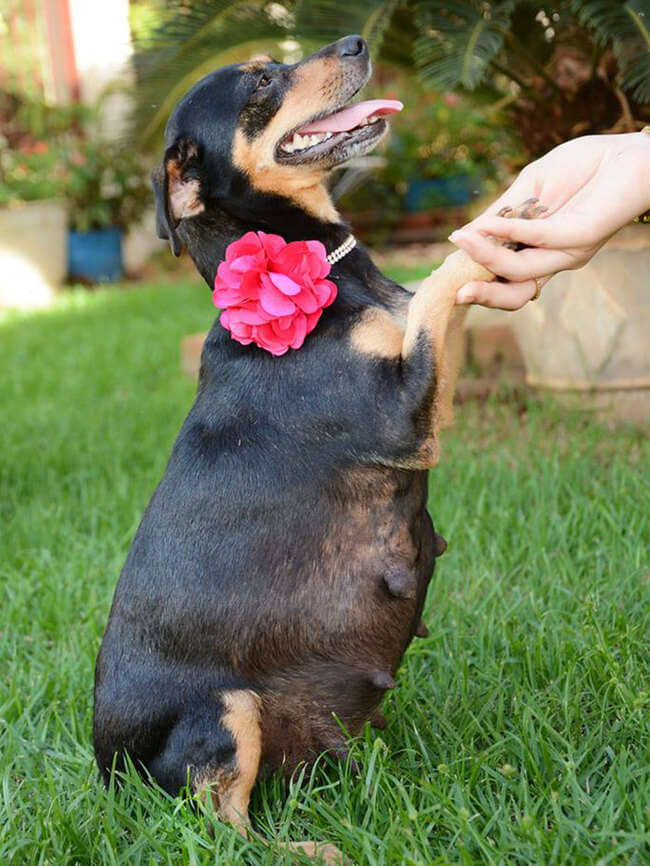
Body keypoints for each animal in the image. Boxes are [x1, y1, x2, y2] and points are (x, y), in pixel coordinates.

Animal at [95, 32, 540, 856]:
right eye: (261, 83)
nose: (357, 41)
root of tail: (105, 772)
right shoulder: (403, 416)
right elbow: (440, 283)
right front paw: (495, 227)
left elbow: (436, 297)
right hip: (224, 713)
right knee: (221, 830)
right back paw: (307, 849)